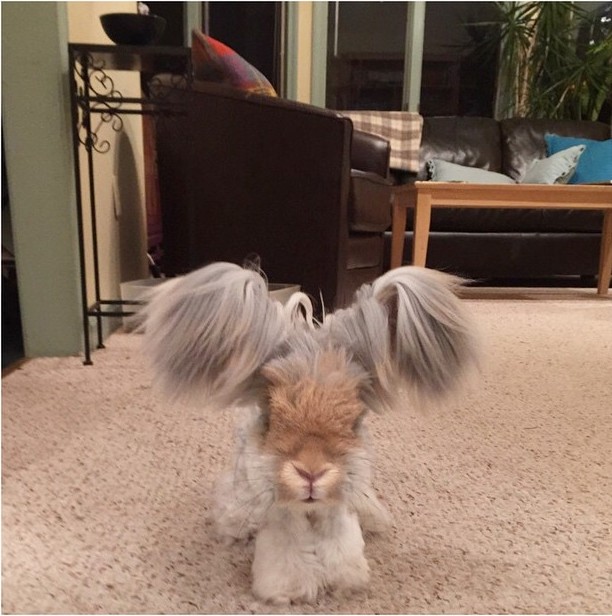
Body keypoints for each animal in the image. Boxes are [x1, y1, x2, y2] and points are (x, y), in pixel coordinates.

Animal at [139, 262, 478, 604]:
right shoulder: (279, 510)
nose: (312, 472)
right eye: (271, 415)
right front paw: (290, 590)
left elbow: (342, 546)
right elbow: (286, 551)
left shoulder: (339, 510)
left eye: (354, 419)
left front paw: (343, 582)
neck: (311, 511)